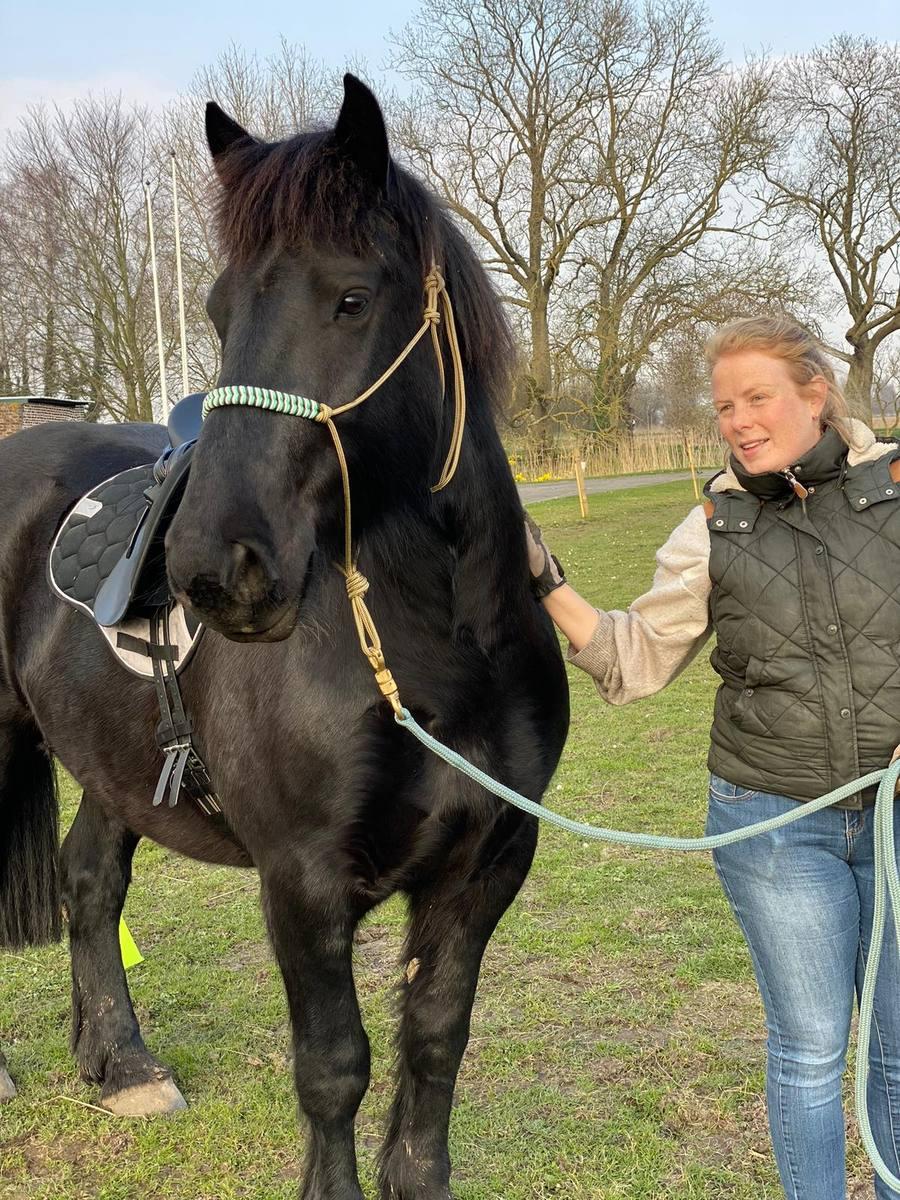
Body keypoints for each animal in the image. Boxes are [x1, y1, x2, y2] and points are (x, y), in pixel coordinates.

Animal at [0, 75, 569, 1199]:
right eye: (219, 310)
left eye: (351, 298)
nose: (215, 567)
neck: (435, 649)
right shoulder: (303, 879)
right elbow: (335, 1064)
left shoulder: (487, 866)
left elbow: (433, 1040)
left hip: (112, 763)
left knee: (91, 884)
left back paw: (123, 1066)